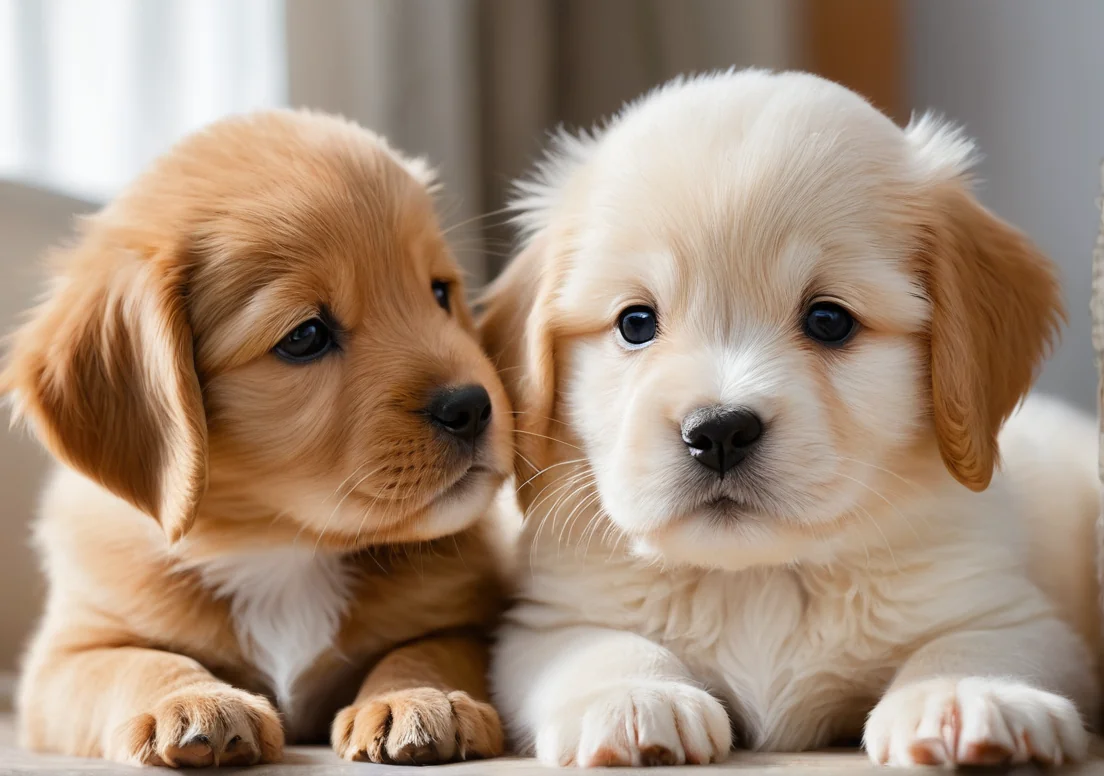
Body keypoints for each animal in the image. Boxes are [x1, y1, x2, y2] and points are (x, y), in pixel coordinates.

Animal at [3, 110, 512, 772]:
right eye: (305, 337)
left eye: (440, 292)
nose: (472, 406)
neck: (278, 546)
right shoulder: (68, 655)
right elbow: (136, 661)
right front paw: (189, 700)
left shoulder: (470, 621)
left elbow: (430, 647)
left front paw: (418, 696)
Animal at [479, 68, 1099, 772]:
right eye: (635, 323)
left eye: (829, 320)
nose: (718, 432)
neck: (761, 579)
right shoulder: (547, 619)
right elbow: (599, 644)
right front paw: (634, 698)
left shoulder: (1015, 612)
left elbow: (972, 642)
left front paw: (967, 695)